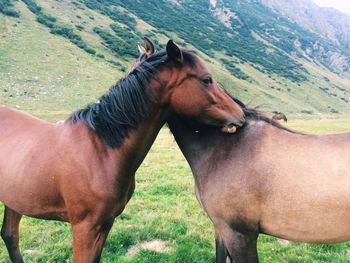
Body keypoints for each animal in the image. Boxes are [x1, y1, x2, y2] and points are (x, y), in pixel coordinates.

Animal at [0, 40, 246, 262]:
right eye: (206, 79)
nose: (241, 115)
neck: (101, 150)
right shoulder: (84, 229)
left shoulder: (105, 224)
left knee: (10, 236)